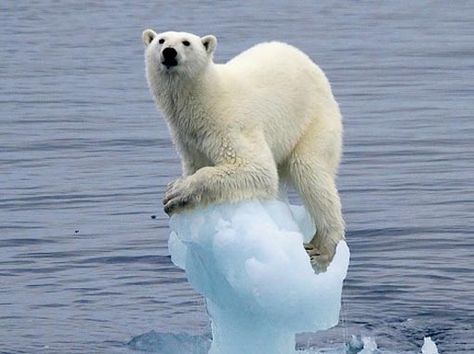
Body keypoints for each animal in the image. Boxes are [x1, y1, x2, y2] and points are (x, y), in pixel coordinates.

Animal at [141, 30, 344, 270]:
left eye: (186, 42)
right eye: (161, 40)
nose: (169, 52)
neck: (204, 99)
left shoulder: (228, 125)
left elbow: (255, 168)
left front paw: (176, 191)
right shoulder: (188, 139)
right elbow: (196, 164)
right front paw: (179, 201)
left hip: (314, 121)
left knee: (311, 173)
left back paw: (321, 249)